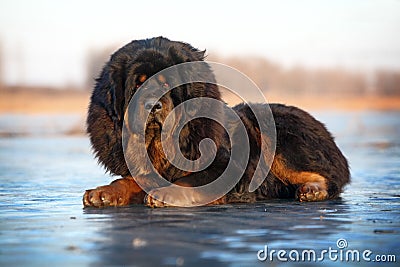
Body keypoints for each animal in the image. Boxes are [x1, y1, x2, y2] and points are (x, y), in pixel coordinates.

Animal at [83, 37, 348, 209]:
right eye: (138, 85)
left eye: (167, 84)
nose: (152, 104)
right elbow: (128, 180)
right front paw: (104, 193)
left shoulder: (225, 166)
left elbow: (189, 180)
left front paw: (165, 194)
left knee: (331, 178)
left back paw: (312, 190)